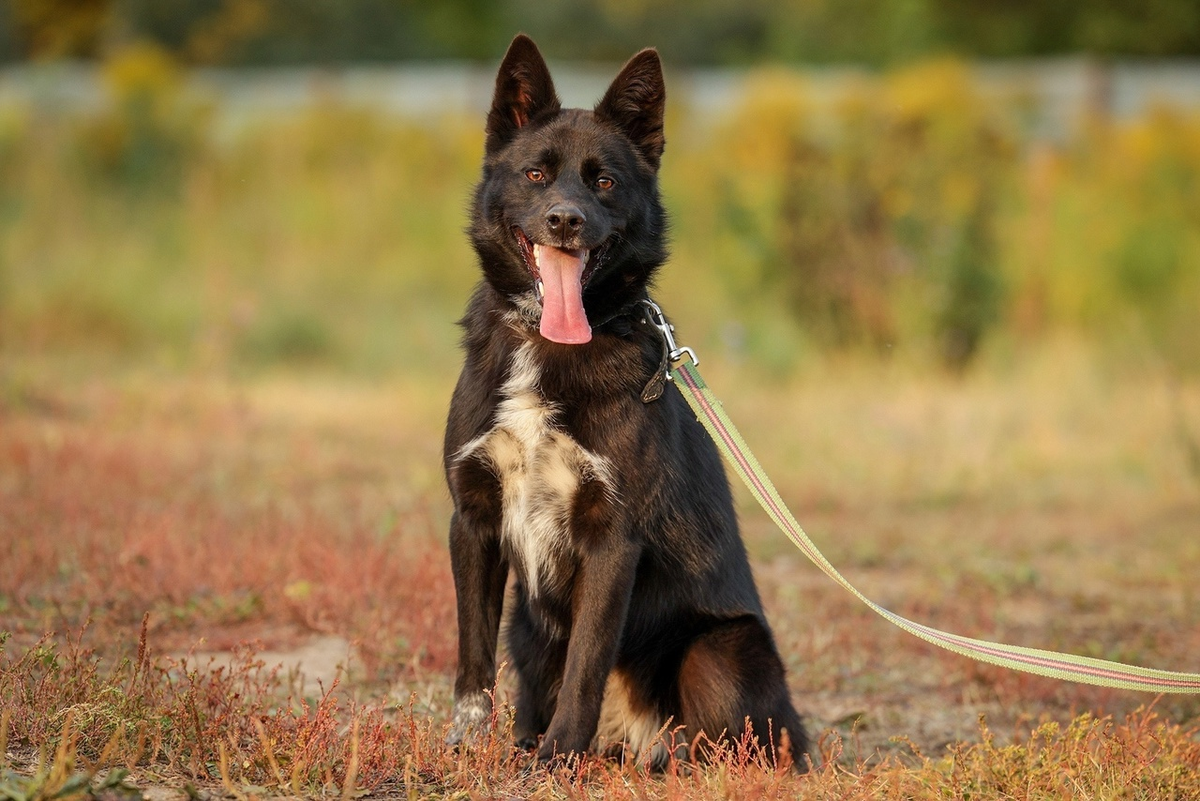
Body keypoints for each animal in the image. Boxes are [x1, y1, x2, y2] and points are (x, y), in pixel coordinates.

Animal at [441, 32, 806, 767]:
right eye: (535, 175)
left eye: (604, 181)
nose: (565, 220)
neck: (548, 344)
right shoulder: (472, 518)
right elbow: (472, 660)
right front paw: (471, 747)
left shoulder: (613, 539)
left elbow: (586, 662)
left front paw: (557, 760)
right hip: (527, 629)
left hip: (720, 652)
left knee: (726, 744)